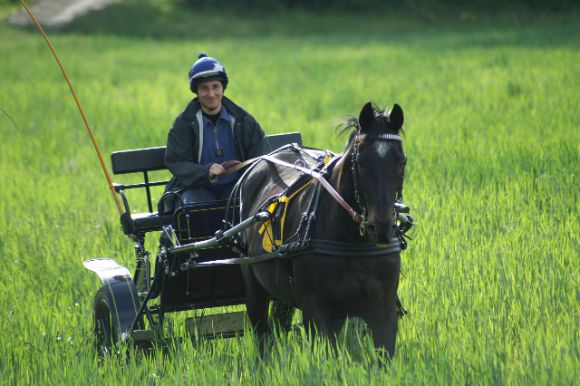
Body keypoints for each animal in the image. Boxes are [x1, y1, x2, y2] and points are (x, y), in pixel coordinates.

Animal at [238, 102, 406, 358]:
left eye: (401, 161)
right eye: (361, 162)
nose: (382, 228)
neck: (352, 243)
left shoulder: (383, 309)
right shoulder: (316, 309)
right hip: (254, 286)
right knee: (262, 334)